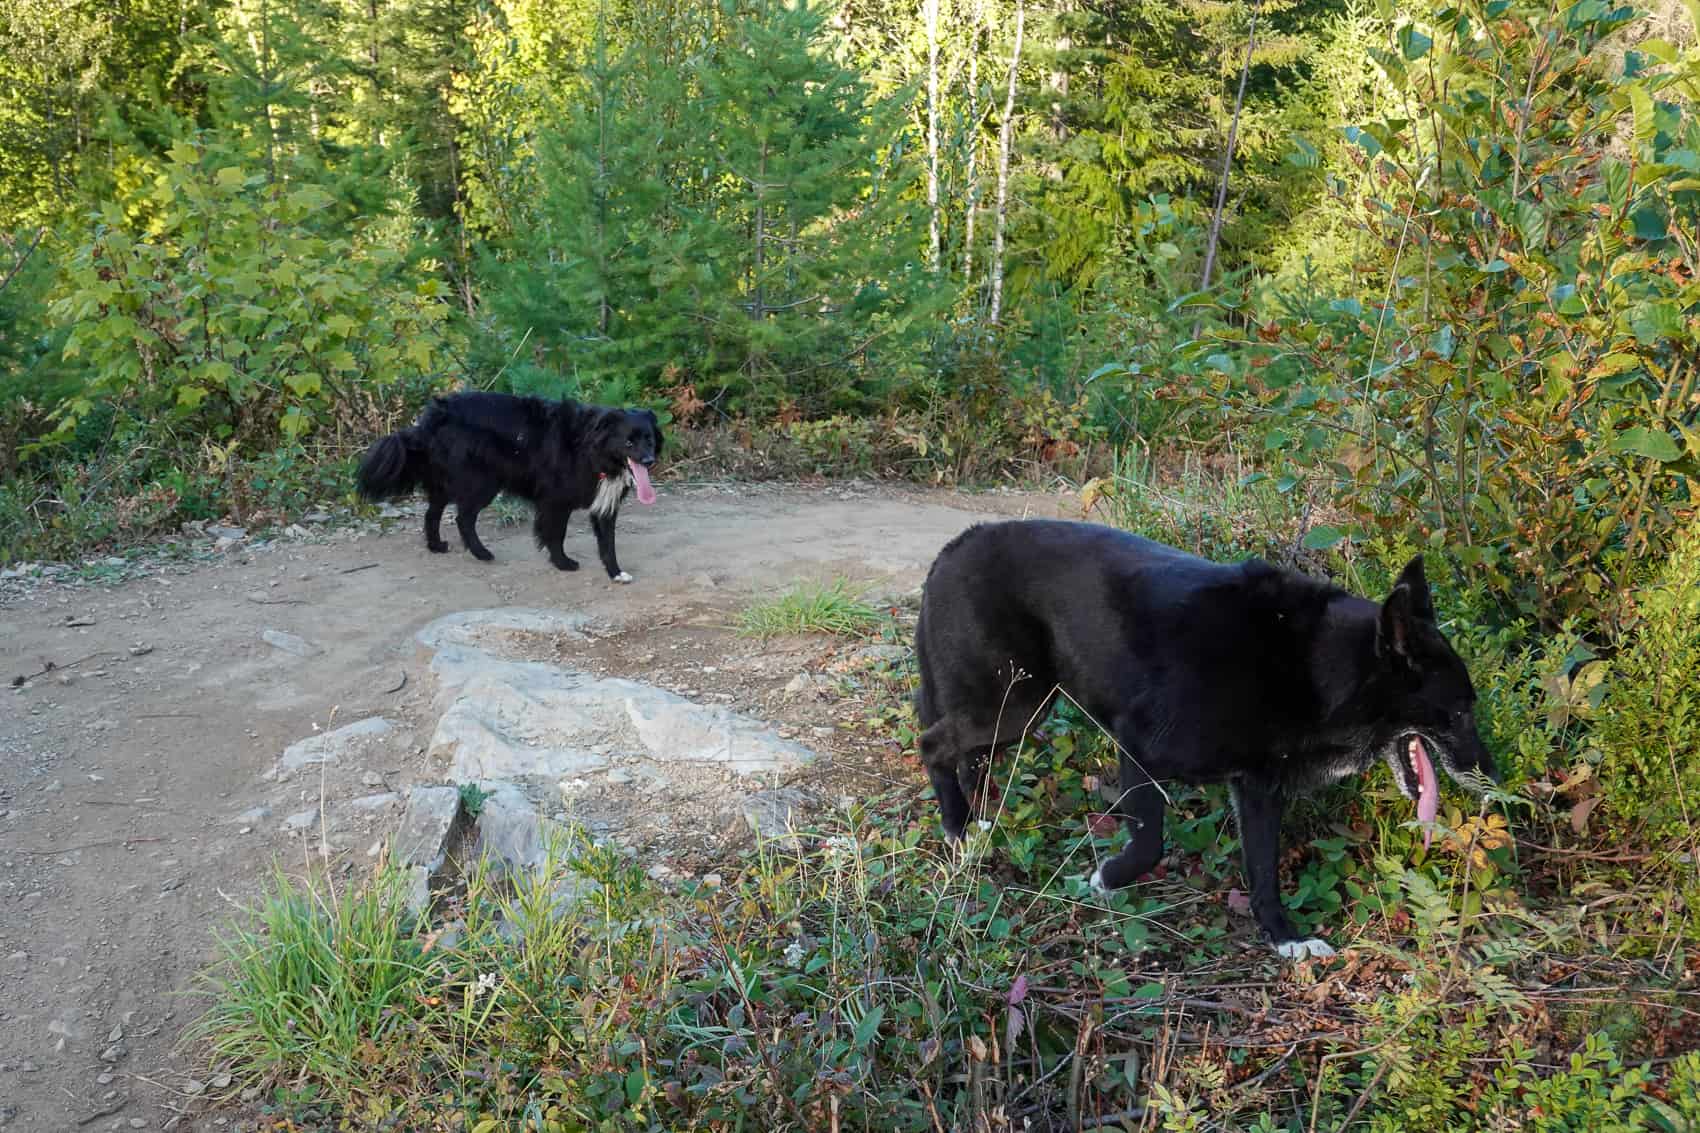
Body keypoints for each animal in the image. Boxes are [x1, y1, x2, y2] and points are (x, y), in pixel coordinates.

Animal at [355, 391, 659, 581]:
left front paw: (616, 572)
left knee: (433, 512)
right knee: (463, 518)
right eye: (629, 442)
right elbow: (556, 534)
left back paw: (436, 545)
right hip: (481, 481)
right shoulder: (555, 500)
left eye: (650, 439)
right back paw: (481, 553)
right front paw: (563, 563)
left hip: (451, 480)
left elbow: (608, 542)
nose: (649, 460)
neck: (591, 448)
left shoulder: (605, 504)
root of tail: (432, 417)